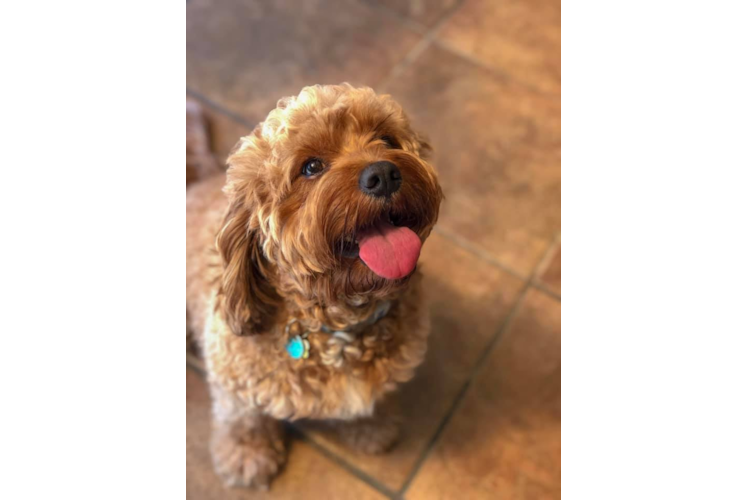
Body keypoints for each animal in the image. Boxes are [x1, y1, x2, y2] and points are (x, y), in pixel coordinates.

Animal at [188, 83, 444, 488]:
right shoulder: (233, 376)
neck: (335, 322)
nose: (384, 173)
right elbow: (243, 416)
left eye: (387, 140)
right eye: (311, 167)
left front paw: (372, 429)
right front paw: (247, 454)